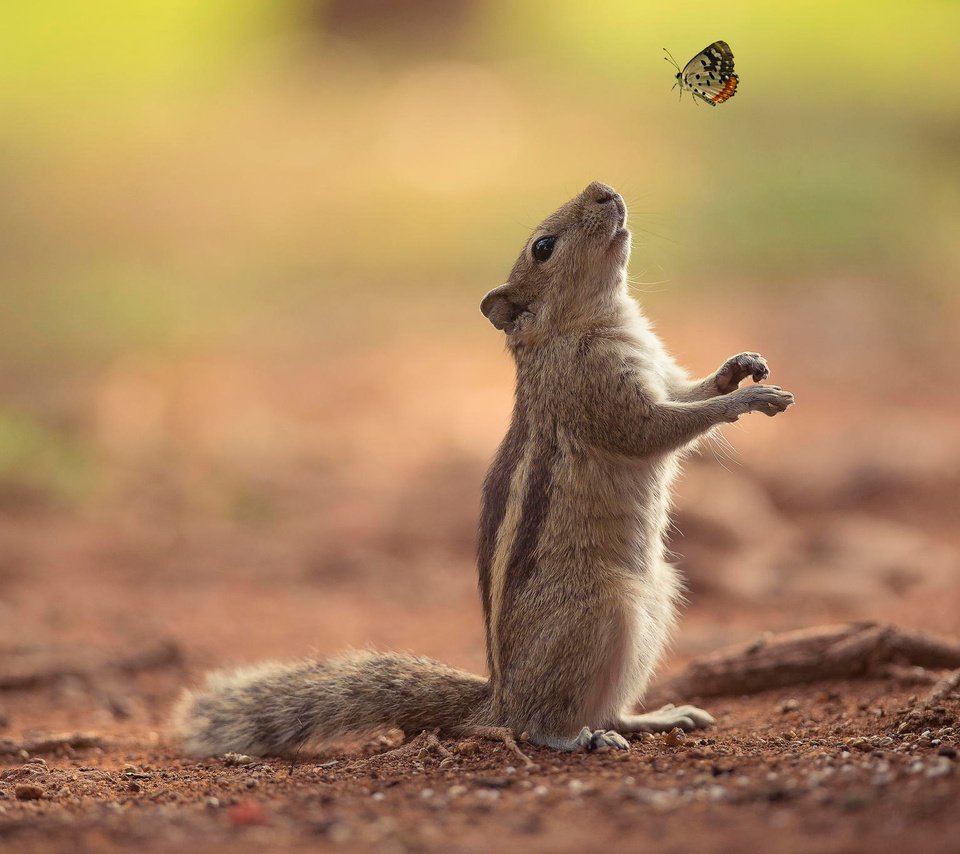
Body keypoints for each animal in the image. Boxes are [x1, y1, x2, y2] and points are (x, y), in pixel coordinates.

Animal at [174, 184, 796, 760]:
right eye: (543, 248)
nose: (603, 189)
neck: (588, 322)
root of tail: (499, 698)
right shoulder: (598, 393)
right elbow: (656, 429)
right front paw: (749, 398)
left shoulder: (662, 374)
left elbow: (690, 393)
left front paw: (740, 367)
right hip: (601, 609)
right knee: (539, 724)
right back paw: (579, 738)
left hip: (658, 597)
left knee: (608, 706)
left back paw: (654, 718)